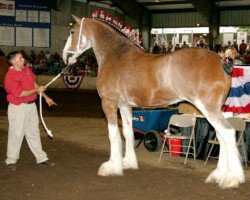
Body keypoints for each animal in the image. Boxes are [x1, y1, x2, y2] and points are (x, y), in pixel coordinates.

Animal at [62, 14, 244, 189]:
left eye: (72, 31)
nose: (65, 57)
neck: (115, 56)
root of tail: (222, 61)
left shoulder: (109, 104)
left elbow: (113, 135)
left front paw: (111, 167)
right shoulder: (124, 106)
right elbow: (127, 133)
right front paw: (128, 163)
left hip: (209, 110)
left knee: (228, 134)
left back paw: (231, 179)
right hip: (213, 111)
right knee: (220, 137)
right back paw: (218, 175)